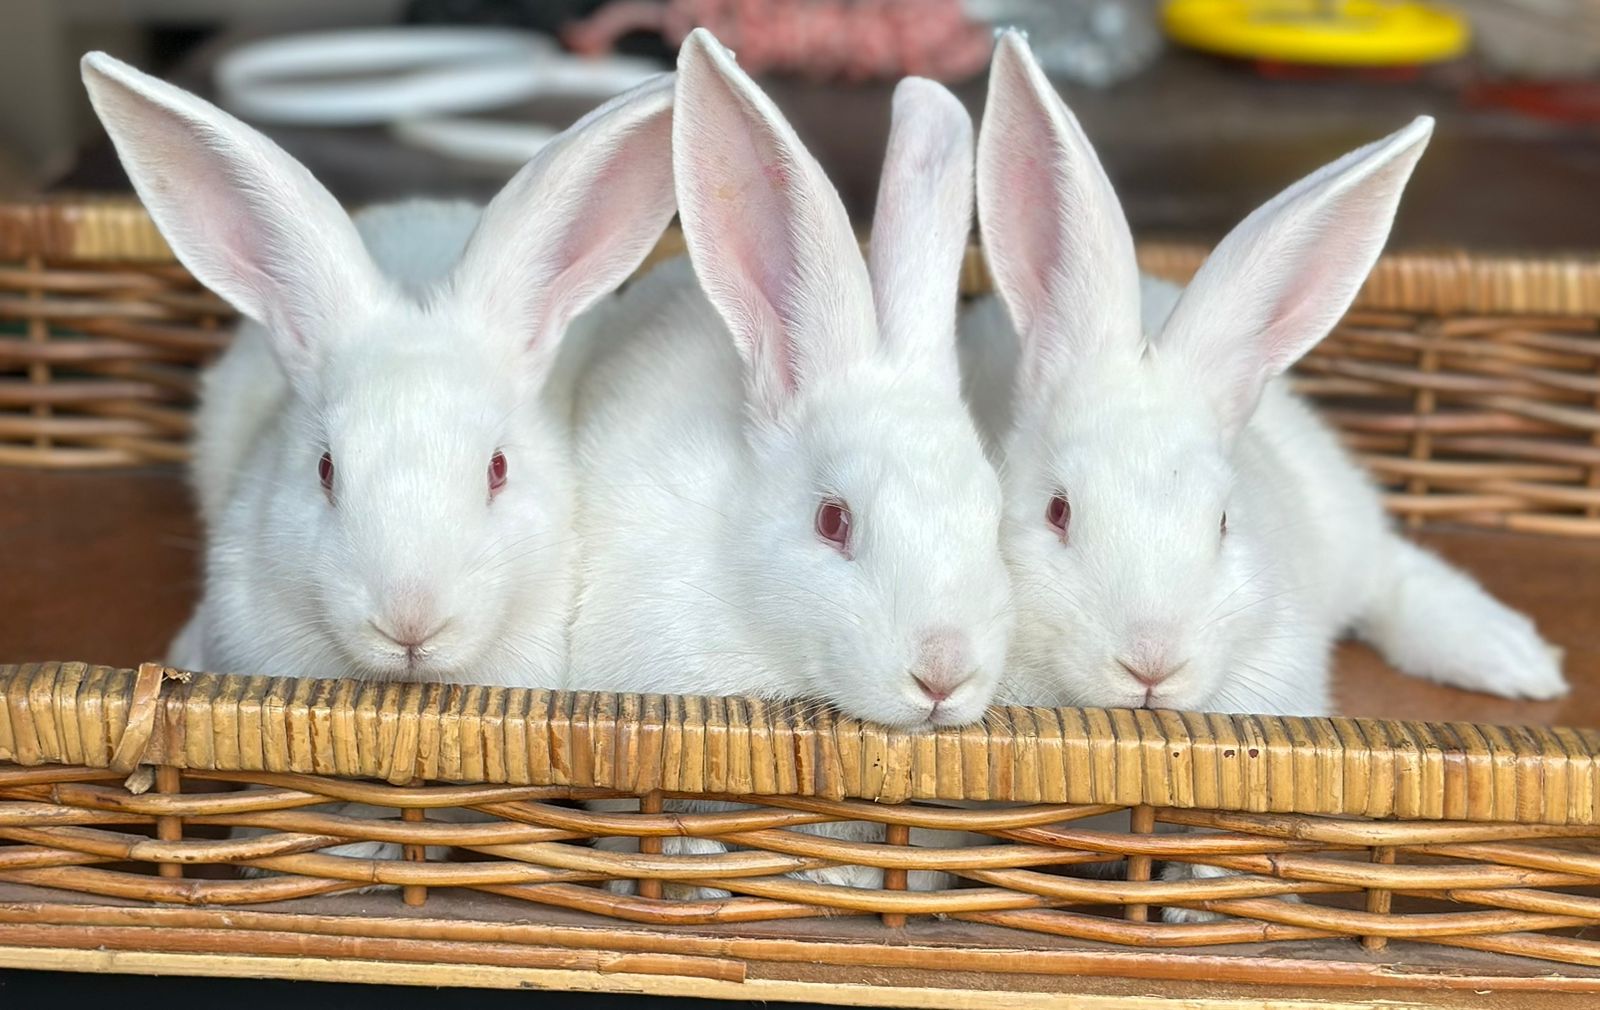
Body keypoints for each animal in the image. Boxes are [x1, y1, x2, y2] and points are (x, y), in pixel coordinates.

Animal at [961, 33, 1567, 922]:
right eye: (1057, 511)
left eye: (1222, 522)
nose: (1151, 664)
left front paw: (1199, 900)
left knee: (1395, 573)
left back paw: (1513, 660)